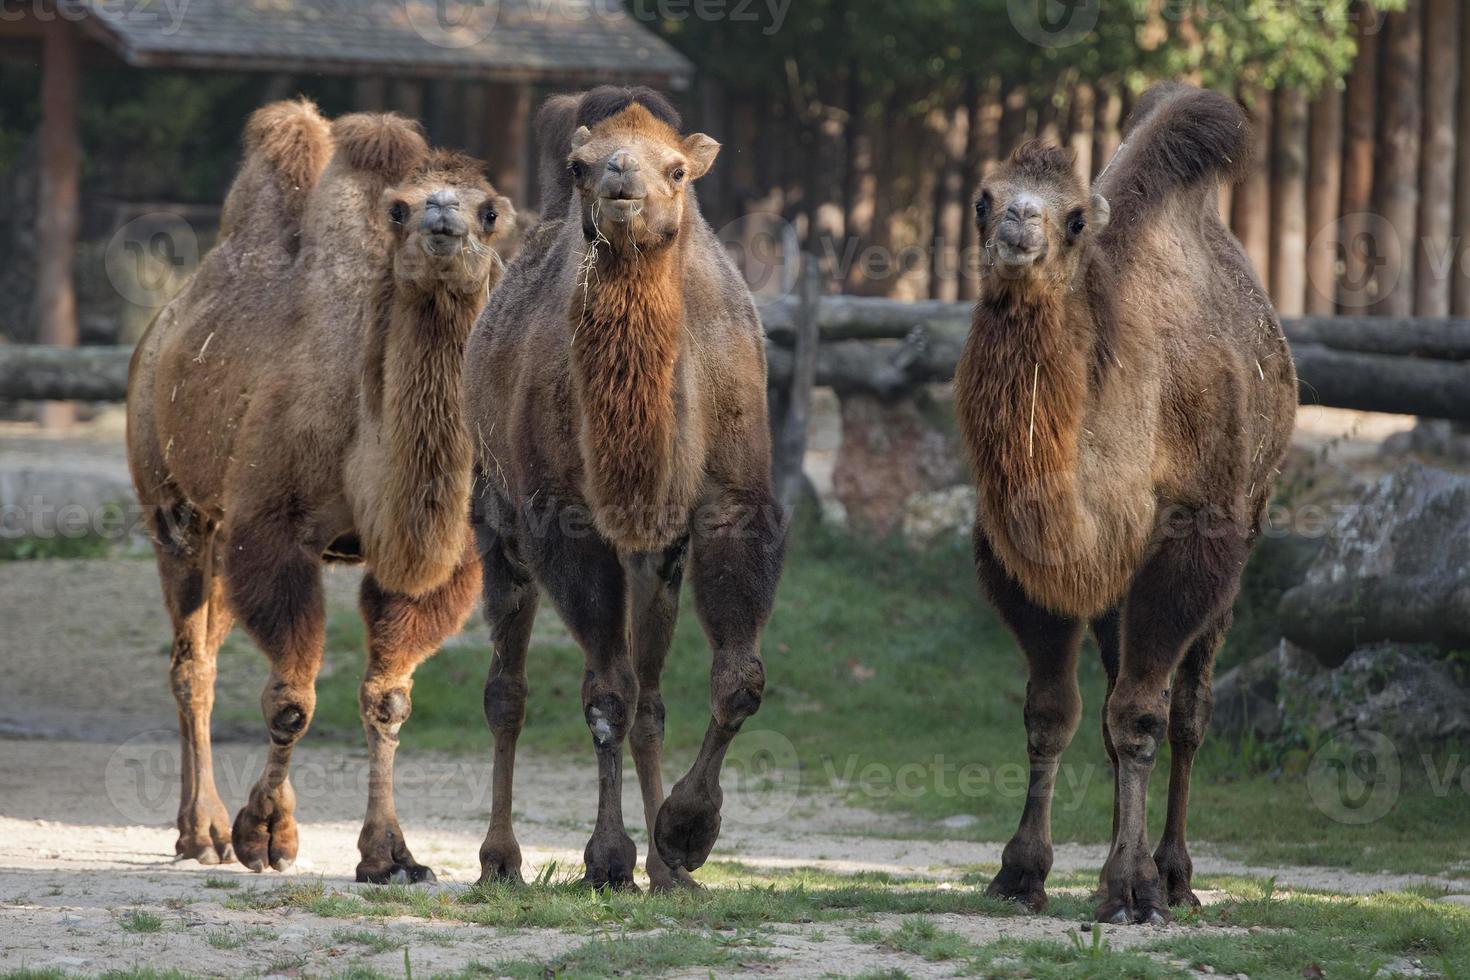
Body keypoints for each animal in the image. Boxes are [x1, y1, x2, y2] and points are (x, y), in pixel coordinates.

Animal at [127, 103, 517, 887]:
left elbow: (387, 699)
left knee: (207, 649)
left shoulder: (429, 566)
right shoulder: (274, 533)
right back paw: (203, 831)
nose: (441, 218)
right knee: (192, 665)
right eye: (399, 208)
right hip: (174, 508)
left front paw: (391, 855)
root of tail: (162, 324)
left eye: (489, 210)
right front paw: (265, 835)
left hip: (219, 532)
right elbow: (292, 702)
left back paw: (200, 827)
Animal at [464, 88, 787, 893]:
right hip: (496, 517)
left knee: (651, 697)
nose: (619, 183)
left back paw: (666, 872)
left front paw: (685, 836)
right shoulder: (563, 521)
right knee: (509, 690)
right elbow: (604, 692)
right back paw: (500, 859)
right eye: (580, 165)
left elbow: (737, 681)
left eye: (677, 170)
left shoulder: (731, 504)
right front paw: (609, 858)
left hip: (653, 559)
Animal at [952, 86, 1299, 928]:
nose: (1019, 224)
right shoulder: (1021, 556)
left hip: (1249, 522)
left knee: (1188, 711)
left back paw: (1173, 871)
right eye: (983, 199)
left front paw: (1132, 888)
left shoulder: (1191, 539)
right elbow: (1052, 712)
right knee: (1115, 703)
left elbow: (1143, 715)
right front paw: (1021, 871)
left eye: (1075, 217)